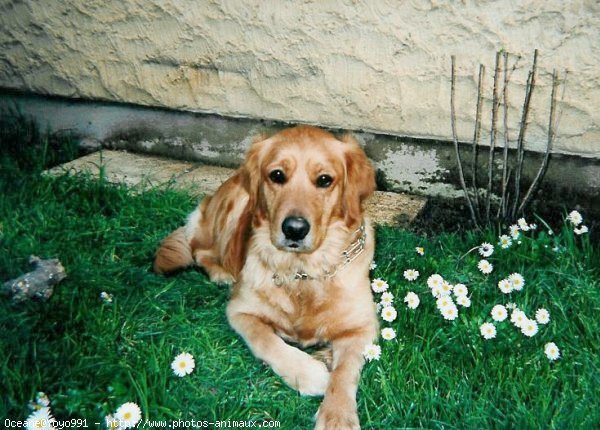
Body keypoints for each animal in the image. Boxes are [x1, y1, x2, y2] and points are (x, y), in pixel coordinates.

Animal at [156, 126, 380, 428]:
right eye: (277, 175)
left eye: (324, 180)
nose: (294, 229)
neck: (301, 271)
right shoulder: (240, 311)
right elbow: (266, 340)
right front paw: (308, 372)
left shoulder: (362, 326)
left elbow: (345, 372)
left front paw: (337, 415)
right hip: (237, 205)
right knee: (199, 249)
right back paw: (222, 273)